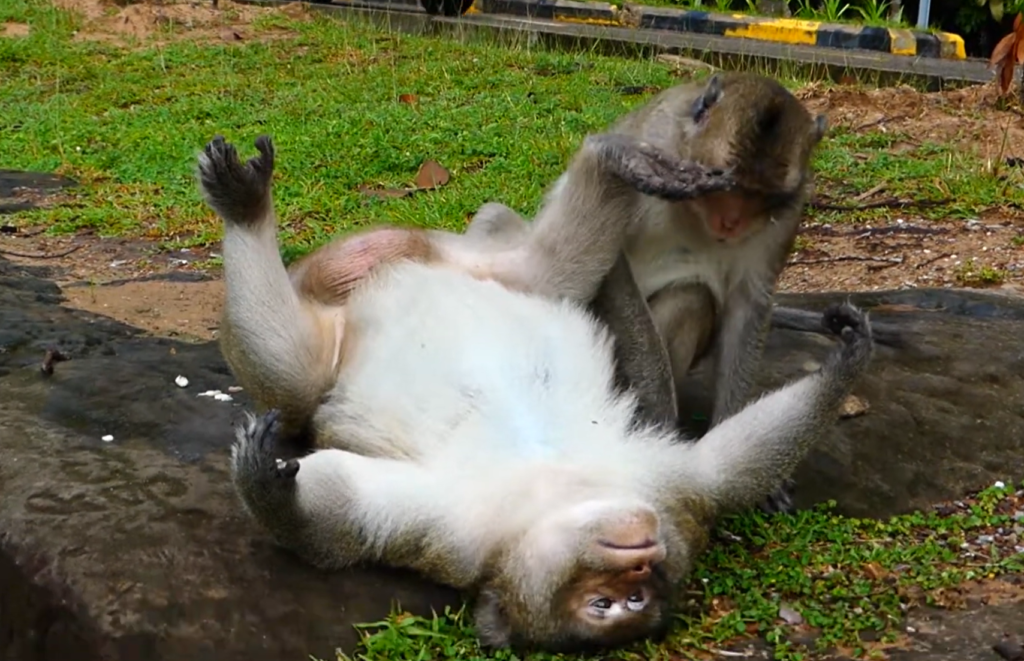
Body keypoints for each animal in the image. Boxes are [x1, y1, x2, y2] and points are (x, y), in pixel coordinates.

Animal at [198, 134, 875, 652]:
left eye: (637, 596)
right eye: (605, 603)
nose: (641, 558)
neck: (558, 484)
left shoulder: (670, 493)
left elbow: (724, 467)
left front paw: (847, 361)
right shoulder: (458, 528)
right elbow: (340, 518)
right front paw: (268, 490)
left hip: (507, 276)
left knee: (558, 270)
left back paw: (610, 164)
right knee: (295, 379)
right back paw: (248, 211)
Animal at [463, 72, 830, 513]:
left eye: (761, 197)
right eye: (724, 184)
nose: (731, 223)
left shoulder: (787, 214)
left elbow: (748, 303)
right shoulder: (653, 157)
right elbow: (612, 262)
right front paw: (661, 422)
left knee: (691, 296)